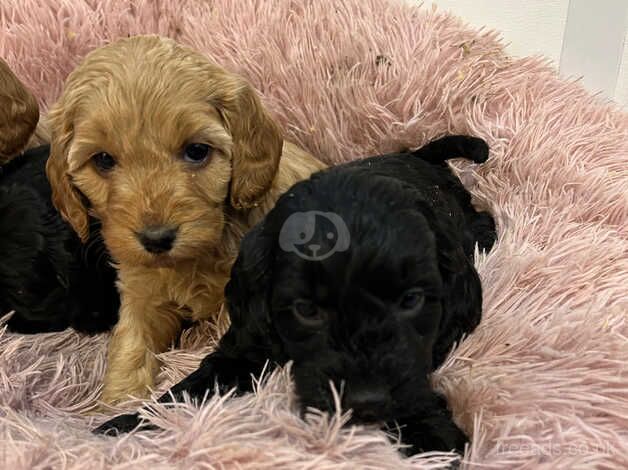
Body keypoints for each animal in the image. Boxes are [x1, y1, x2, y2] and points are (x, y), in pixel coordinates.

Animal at [46, 35, 326, 404]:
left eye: (197, 151)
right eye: (103, 160)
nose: (156, 238)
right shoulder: (142, 294)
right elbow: (130, 348)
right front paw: (117, 402)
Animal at [94, 136, 496, 456]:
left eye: (410, 301)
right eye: (306, 310)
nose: (365, 402)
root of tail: (419, 155)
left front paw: (431, 437)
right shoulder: (247, 343)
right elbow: (197, 386)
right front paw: (129, 425)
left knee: (483, 220)